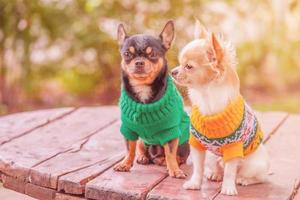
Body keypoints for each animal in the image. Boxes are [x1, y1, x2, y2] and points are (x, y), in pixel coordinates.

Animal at [113, 21, 191, 179]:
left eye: (153, 54)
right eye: (127, 54)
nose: (139, 62)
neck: (142, 87)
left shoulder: (171, 131)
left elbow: (170, 152)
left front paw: (174, 170)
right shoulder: (129, 129)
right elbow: (129, 148)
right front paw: (125, 164)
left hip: (184, 142)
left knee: (178, 156)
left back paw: (166, 161)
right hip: (143, 141)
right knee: (141, 148)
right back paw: (143, 157)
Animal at [171, 20, 270, 195]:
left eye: (188, 66)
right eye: (179, 64)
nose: (172, 71)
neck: (206, 96)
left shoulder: (233, 147)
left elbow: (230, 171)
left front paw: (228, 188)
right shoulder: (197, 144)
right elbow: (198, 168)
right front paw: (195, 183)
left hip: (254, 164)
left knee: (259, 177)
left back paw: (244, 180)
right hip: (212, 157)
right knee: (217, 167)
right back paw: (215, 174)